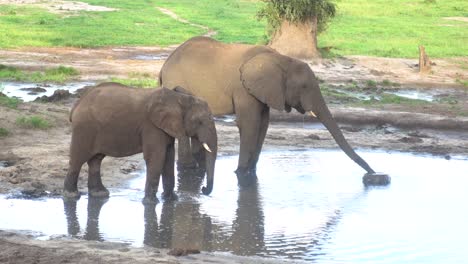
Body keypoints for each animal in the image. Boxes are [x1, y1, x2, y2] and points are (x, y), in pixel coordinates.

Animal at [63, 82, 218, 202]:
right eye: (200, 122)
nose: (203, 189)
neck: (179, 98)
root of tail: (77, 105)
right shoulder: (152, 126)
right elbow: (156, 157)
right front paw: (151, 203)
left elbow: (168, 157)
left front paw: (172, 200)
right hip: (84, 128)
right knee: (78, 160)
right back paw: (71, 195)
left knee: (96, 160)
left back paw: (100, 194)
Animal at [159, 36, 378, 186]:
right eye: (304, 87)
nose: (373, 174)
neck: (282, 59)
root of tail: (164, 65)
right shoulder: (243, 88)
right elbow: (249, 123)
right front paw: (240, 173)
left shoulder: (265, 90)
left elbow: (263, 123)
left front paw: (250, 173)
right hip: (175, 82)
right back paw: (189, 168)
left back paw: (198, 166)